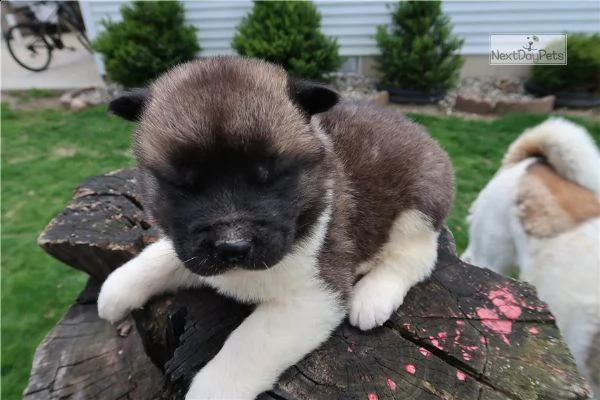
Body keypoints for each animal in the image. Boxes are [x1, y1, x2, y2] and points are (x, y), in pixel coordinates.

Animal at [98, 54, 454, 398]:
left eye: (269, 177)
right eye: (183, 185)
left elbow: (245, 349)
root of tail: (414, 127)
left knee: (414, 258)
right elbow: (161, 257)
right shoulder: (190, 248)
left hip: (418, 208)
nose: (232, 247)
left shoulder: (312, 295)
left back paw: (372, 297)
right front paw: (118, 288)